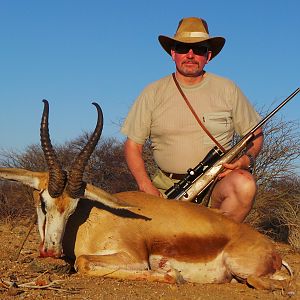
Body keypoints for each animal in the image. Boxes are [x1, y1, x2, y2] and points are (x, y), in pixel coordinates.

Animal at [0, 101, 290, 290]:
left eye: (74, 207)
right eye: (43, 202)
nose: (51, 251)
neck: (93, 222)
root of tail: (273, 250)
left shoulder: (134, 258)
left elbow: (83, 262)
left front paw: (173, 275)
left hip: (242, 267)